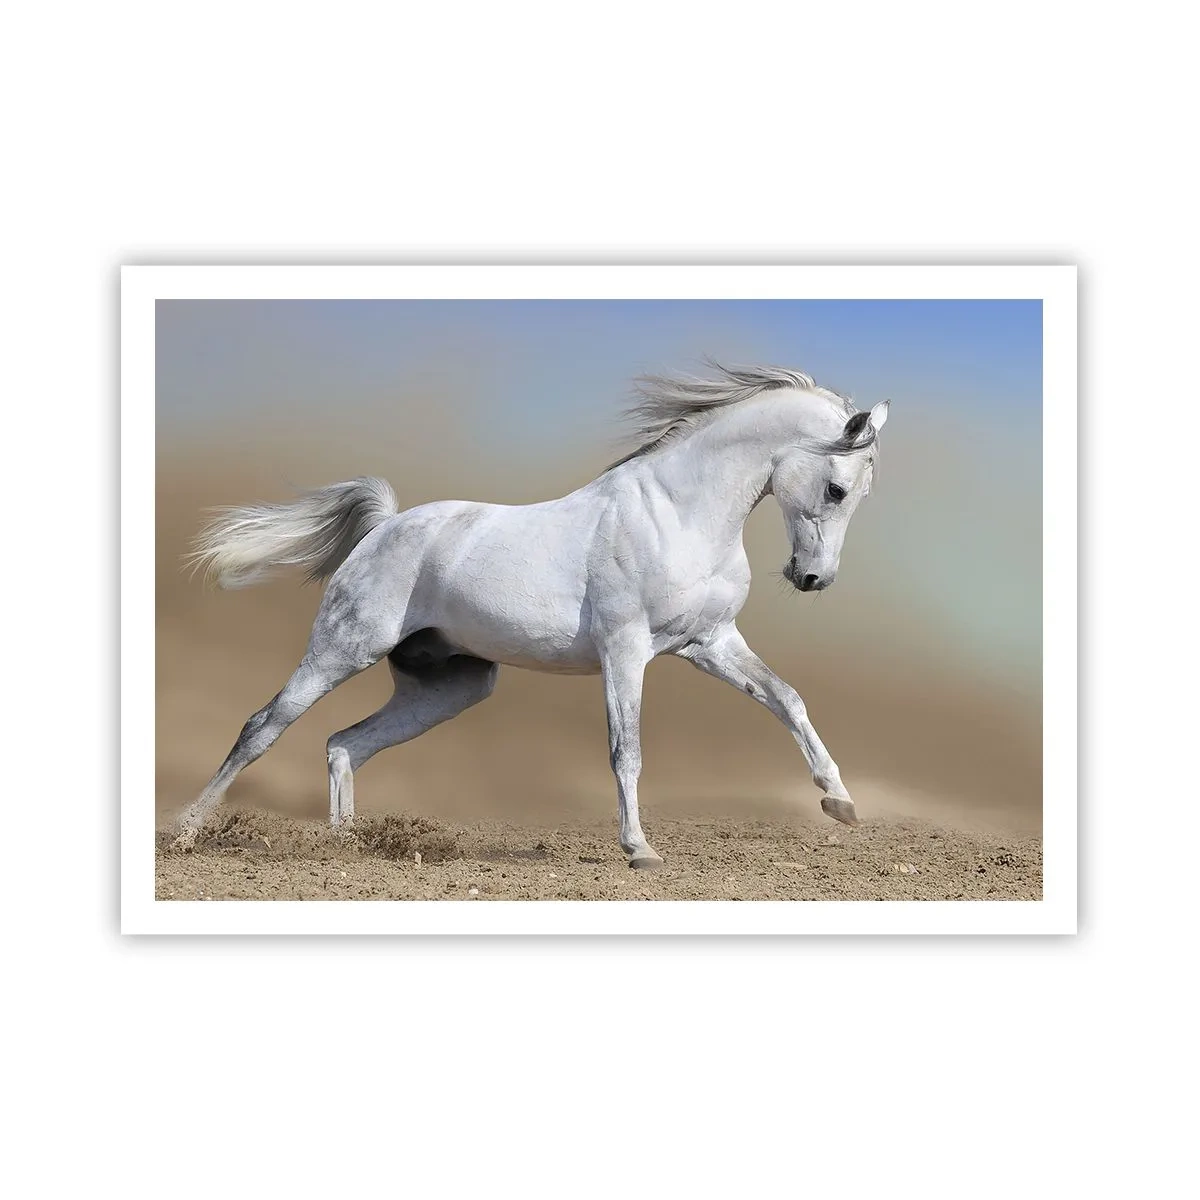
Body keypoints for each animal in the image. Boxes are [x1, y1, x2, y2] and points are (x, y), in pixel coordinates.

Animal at [173, 362, 889, 867]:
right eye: (837, 489)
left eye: (859, 496)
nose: (812, 579)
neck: (678, 513)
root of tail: (383, 527)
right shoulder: (625, 650)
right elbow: (627, 750)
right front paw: (640, 850)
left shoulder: (709, 643)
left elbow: (787, 700)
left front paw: (840, 802)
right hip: (342, 649)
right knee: (263, 726)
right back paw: (185, 832)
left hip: (451, 687)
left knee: (345, 744)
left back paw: (345, 847)